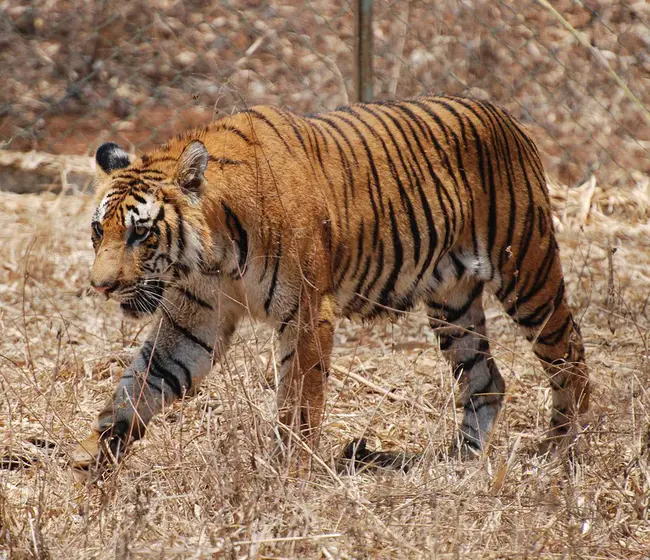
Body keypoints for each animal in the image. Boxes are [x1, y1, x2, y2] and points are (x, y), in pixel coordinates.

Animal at [69, 94, 588, 470]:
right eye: (98, 230)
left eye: (140, 231)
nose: (100, 287)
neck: (212, 255)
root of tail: (506, 117)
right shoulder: (193, 320)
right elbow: (138, 388)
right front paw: (91, 468)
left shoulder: (306, 314)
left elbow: (299, 403)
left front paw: (288, 475)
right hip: (453, 303)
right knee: (485, 378)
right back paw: (459, 461)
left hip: (528, 272)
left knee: (568, 351)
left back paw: (565, 448)